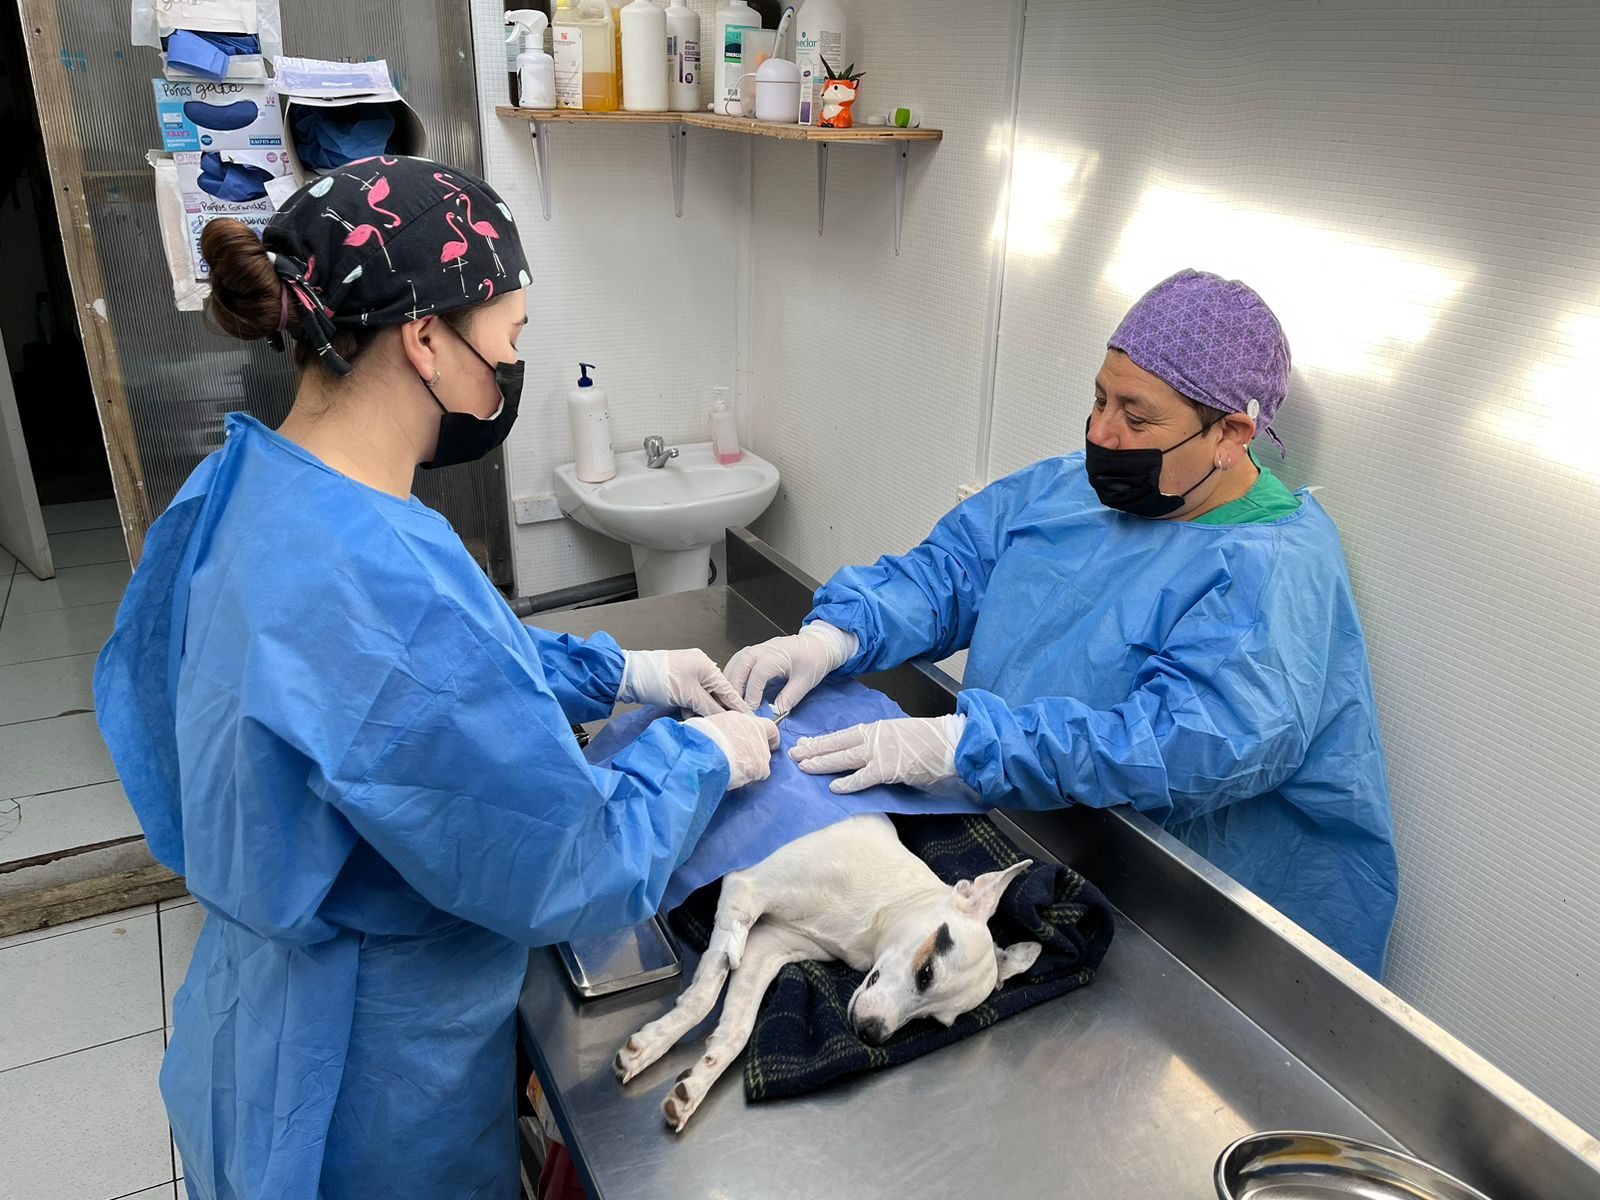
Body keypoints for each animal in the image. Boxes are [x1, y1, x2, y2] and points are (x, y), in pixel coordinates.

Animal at [614, 812, 1042, 1132]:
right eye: (926, 972)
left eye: (937, 1022)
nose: (871, 1034)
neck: (879, 907)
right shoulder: (744, 891)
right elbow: (706, 992)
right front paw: (656, 1044)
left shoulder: (765, 947)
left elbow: (738, 1029)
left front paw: (694, 1078)